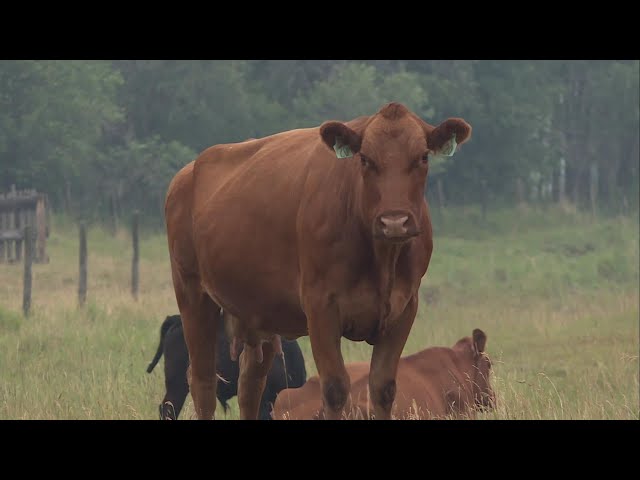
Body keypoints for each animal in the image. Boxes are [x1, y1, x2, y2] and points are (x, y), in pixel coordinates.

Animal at [166, 102, 470, 420]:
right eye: (365, 159)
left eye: (422, 157)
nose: (394, 221)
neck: (381, 259)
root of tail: (188, 172)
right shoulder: (320, 306)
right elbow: (335, 389)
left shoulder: (404, 308)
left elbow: (383, 387)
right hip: (192, 295)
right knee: (203, 382)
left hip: (258, 313)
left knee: (250, 386)